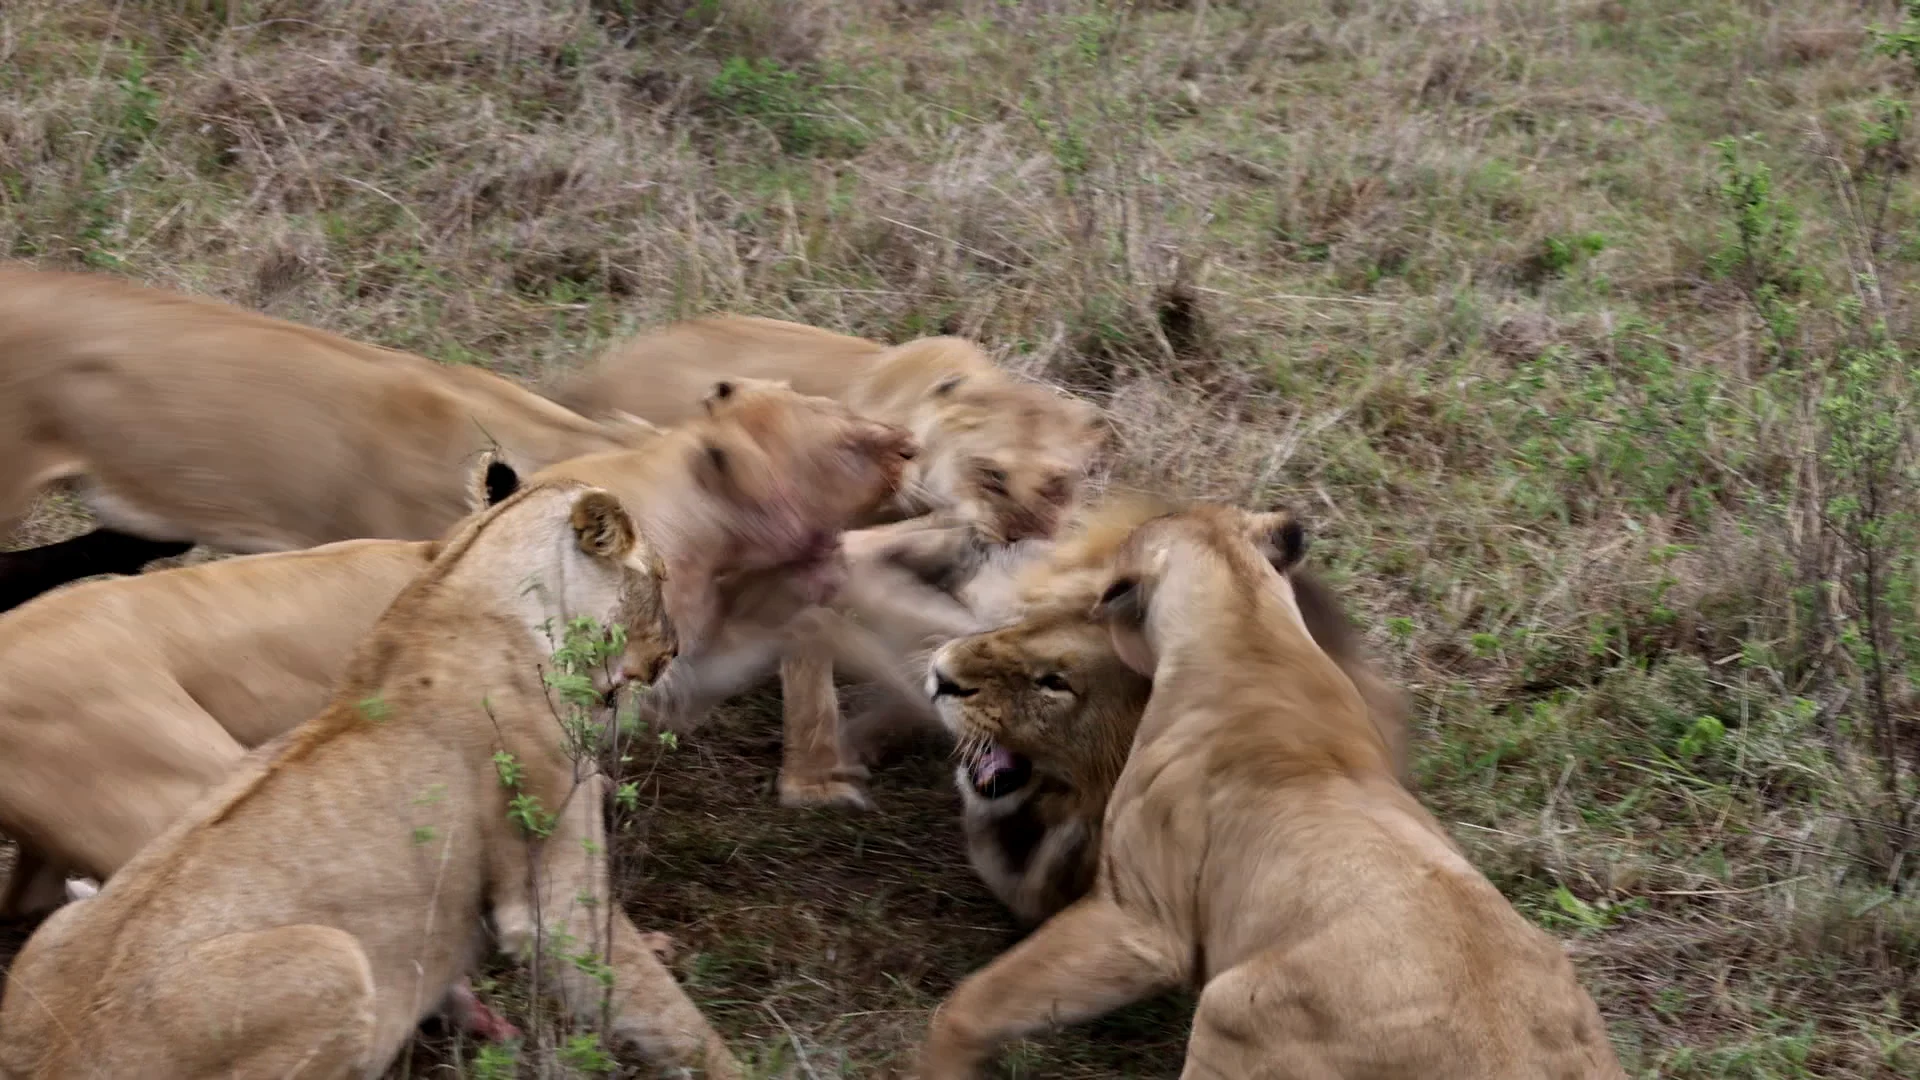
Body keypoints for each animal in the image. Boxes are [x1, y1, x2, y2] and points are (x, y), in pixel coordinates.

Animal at [0, 476, 747, 1079]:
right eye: (659, 577)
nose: (672, 652)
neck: (460, 584)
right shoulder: (550, 896)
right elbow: (654, 1001)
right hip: (332, 959)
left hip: (60, 929)